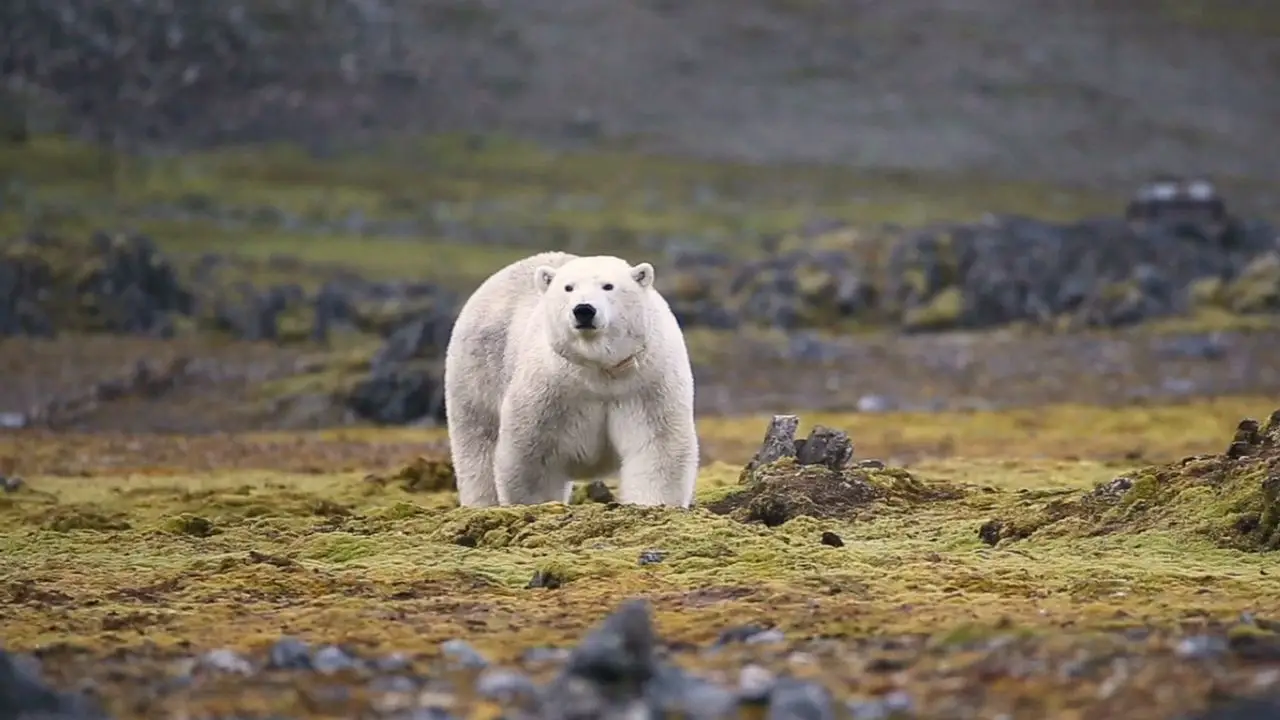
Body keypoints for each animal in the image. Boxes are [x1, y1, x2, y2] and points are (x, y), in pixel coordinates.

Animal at [443, 251, 699, 508]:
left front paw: (652, 503)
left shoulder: (645, 384)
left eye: (608, 286)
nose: (584, 309)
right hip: (479, 368)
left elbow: (657, 445)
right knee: (478, 441)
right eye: (568, 287)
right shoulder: (551, 388)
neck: (599, 370)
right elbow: (531, 453)